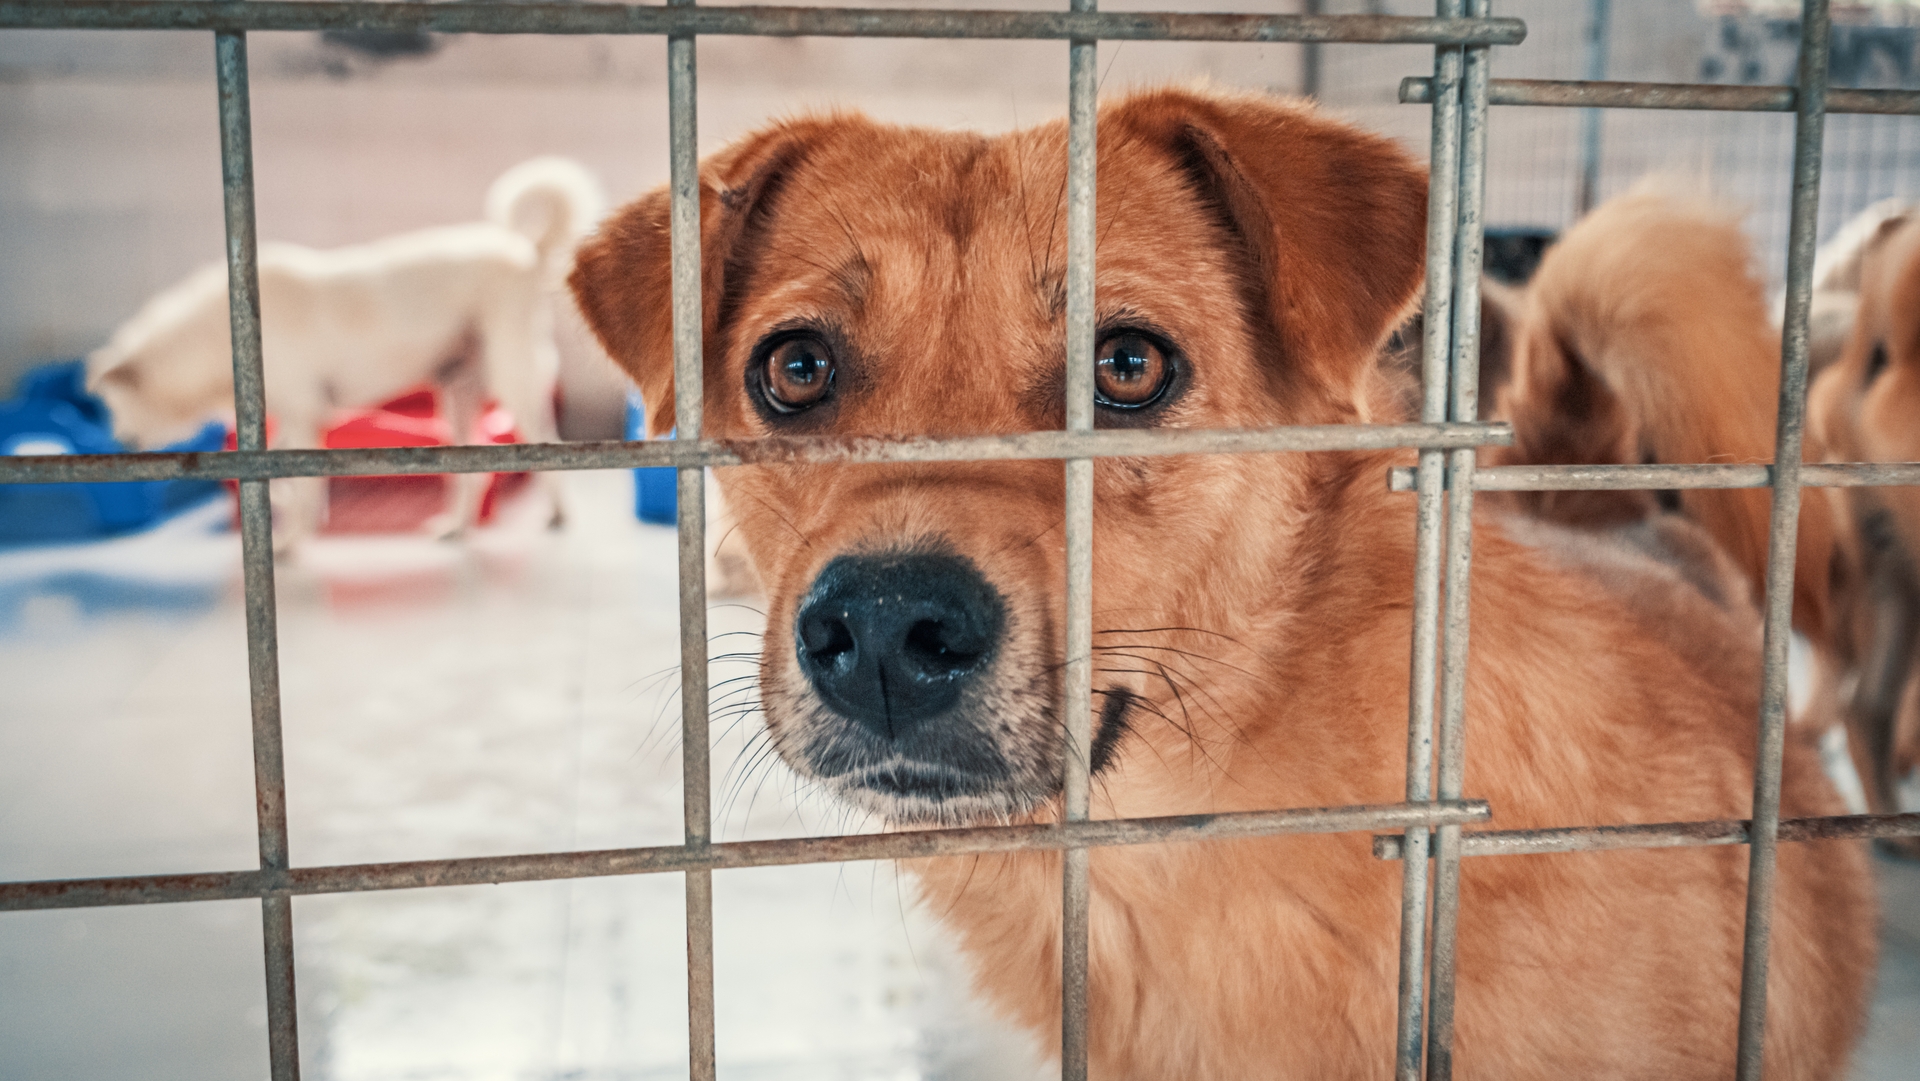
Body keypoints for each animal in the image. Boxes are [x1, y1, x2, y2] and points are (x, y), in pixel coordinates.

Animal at [86, 152, 599, 549]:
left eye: (110, 406)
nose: (116, 445)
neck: (214, 337)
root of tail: (525, 251)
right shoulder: (294, 423)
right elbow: (283, 480)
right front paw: (289, 521)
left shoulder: (304, 414)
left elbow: (301, 488)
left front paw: (291, 543)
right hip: (456, 397)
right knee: (474, 470)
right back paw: (456, 528)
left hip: (511, 379)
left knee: (548, 446)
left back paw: (558, 516)